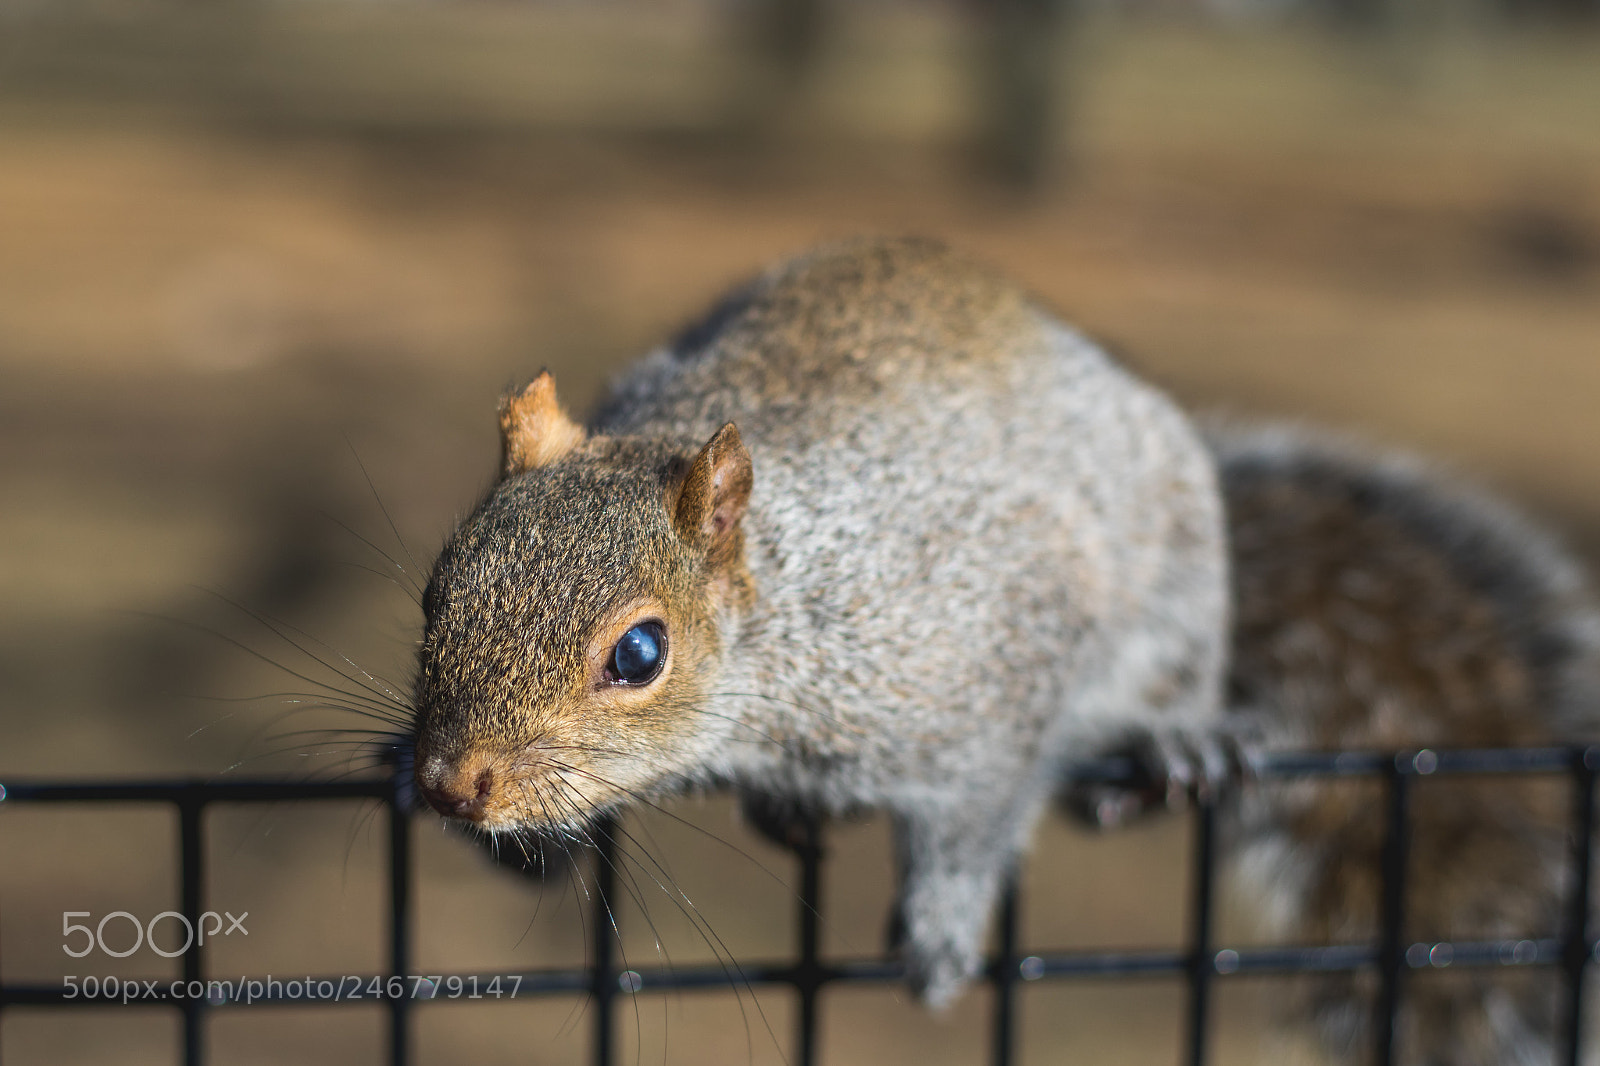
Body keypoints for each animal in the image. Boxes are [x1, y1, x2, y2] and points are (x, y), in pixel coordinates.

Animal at [407, 236, 1235, 1008]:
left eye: (640, 653)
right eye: (434, 592)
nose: (450, 786)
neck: (780, 616)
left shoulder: (994, 654)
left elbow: (981, 808)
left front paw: (941, 929)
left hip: (1175, 554)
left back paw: (1174, 737)